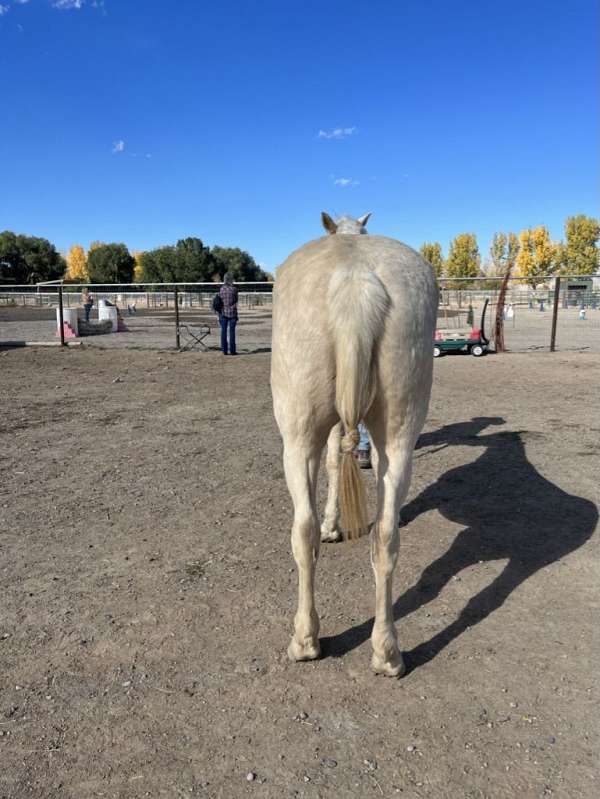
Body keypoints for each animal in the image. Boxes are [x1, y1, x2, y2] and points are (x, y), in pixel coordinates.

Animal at [270, 212, 436, 676]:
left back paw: (305, 641)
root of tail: (355, 275)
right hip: (399, 432)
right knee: (386, 535)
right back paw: (387, 653)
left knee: (302, 531)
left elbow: (330, 464)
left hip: (297, 437)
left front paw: (332, 525)